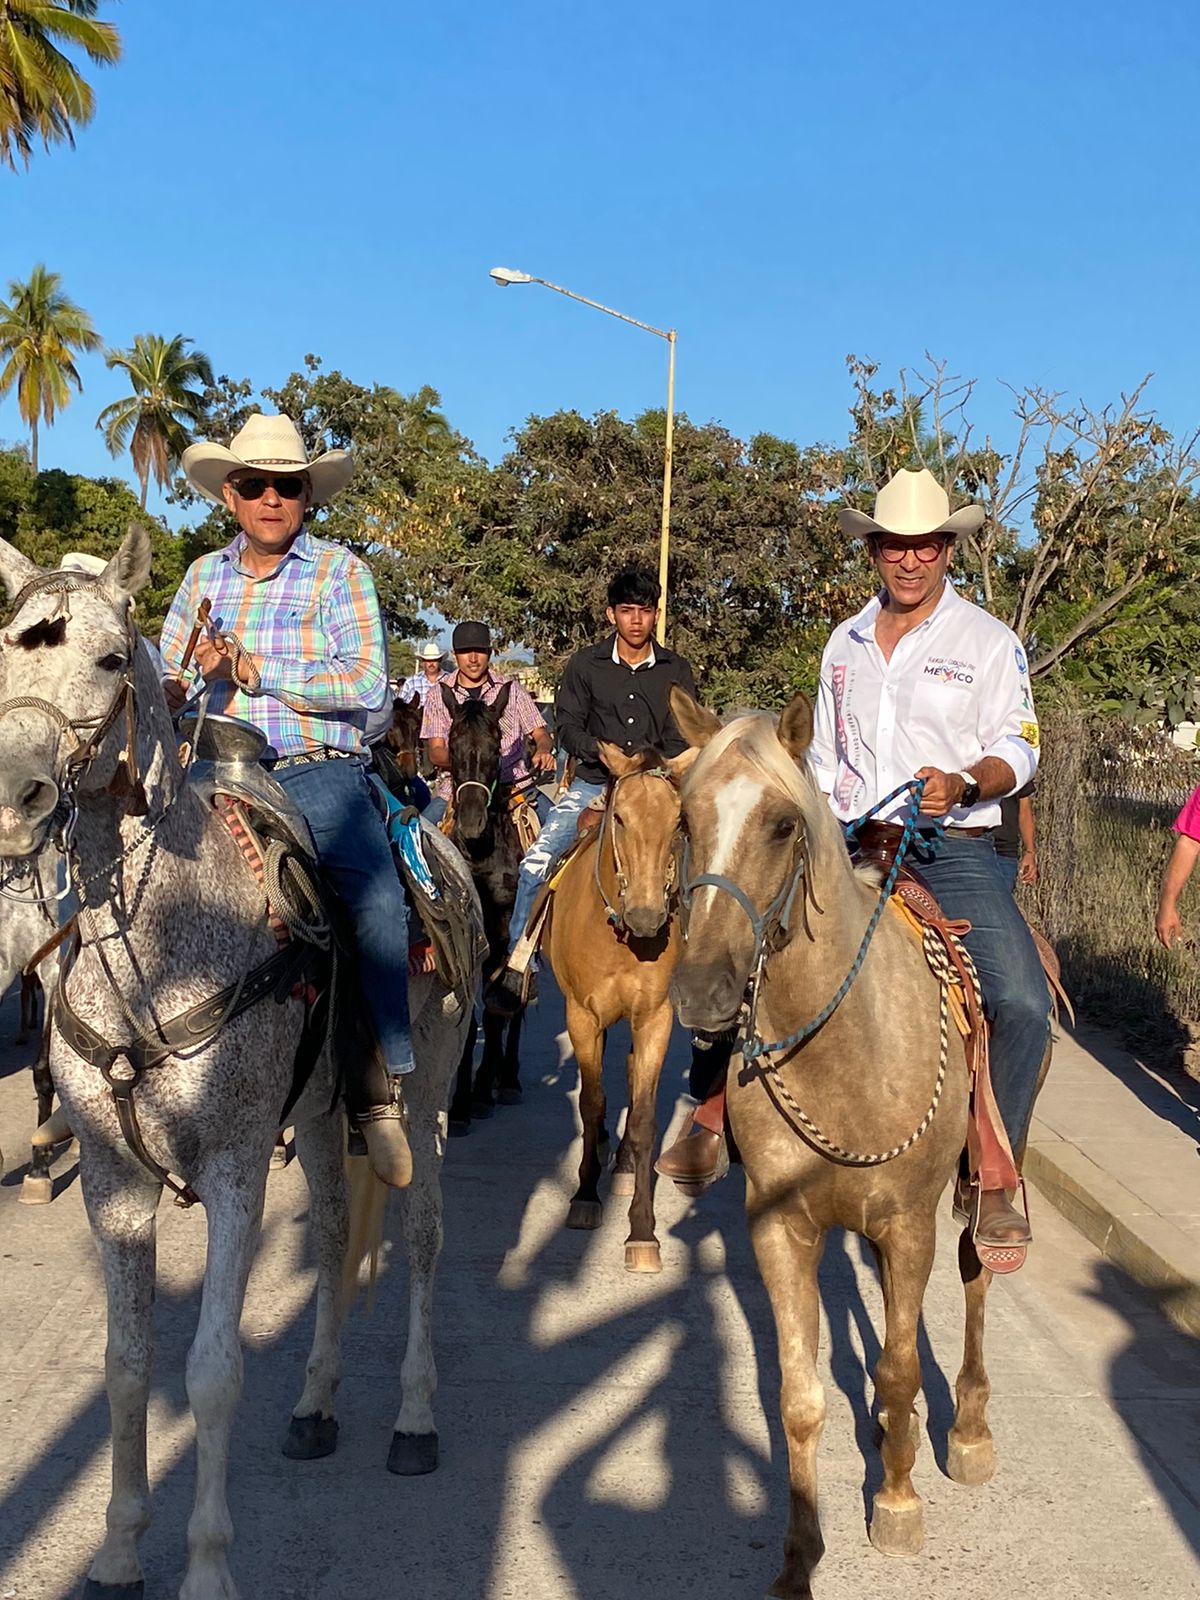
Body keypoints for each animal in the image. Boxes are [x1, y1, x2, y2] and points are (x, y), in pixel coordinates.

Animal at [0, 528, 483, 1600]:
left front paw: (208, 1567)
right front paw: (116, 1551)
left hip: (428, 1091)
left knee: (426, 1236)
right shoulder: (115, 1182)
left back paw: (415, 1418)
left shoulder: (231, 1170)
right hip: (318, 1114)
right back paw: (315, 1403)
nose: (13, 795)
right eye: (3, 652)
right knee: (340, 1230)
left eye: (108, 658)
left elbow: (212, 1373)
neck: (158, 949)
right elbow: (127, 1366)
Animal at [550, 739, 691, 1273]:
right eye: (622, 818)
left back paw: (627, 1155)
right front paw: (585, 1195)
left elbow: (648, 1114)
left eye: (678, 822)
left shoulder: (655, 1018)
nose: (648, 915)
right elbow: (591, 1104)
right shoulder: (582, 1016)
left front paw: (642, 1231)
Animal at [672, 694, 1049, 1600]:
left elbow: (901, 1366)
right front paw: (798, 1556)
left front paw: (898, 1503)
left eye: (781, 824)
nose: (701, 991)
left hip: (981, 1183)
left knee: (976, 1273)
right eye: (686, 818)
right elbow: (801, 1395)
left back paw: (967, 1430)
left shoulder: (908, 1225)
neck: (846, 1048)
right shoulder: (781, 1229)